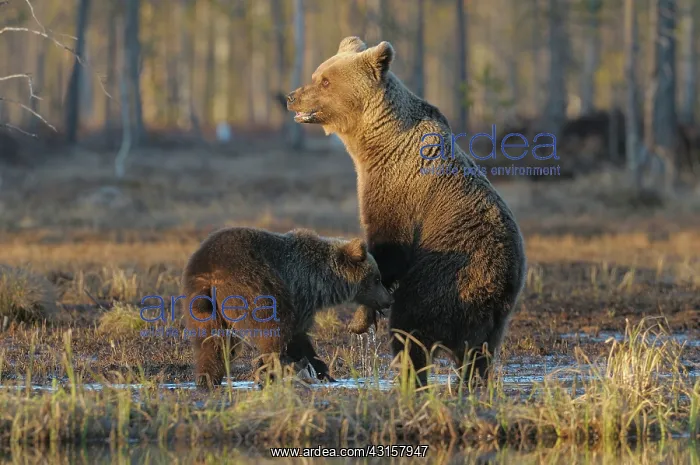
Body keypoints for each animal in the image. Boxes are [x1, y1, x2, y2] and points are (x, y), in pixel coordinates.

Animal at [181, 226, 393, 387]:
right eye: (377, 278)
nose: (388, 300)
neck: (323, 282)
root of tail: (208, 270)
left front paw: (322, 373)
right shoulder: (300, 293)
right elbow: (296, 335)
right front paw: (319, 371)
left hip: (200, 303)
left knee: (212, 341)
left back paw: (207, 378)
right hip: (254, 284)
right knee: (273, 326)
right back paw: (273, 368)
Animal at [286, 36, 527, 386]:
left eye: (325, 80)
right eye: (318, 74)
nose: (292, 97)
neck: (373, 144)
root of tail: (496, 284)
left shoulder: (397, 190)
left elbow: (389, 246)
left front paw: (360, 320)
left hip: (442, 281)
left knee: (411, 329)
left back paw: (408, 375)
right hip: (497, 318)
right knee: (478, 355)